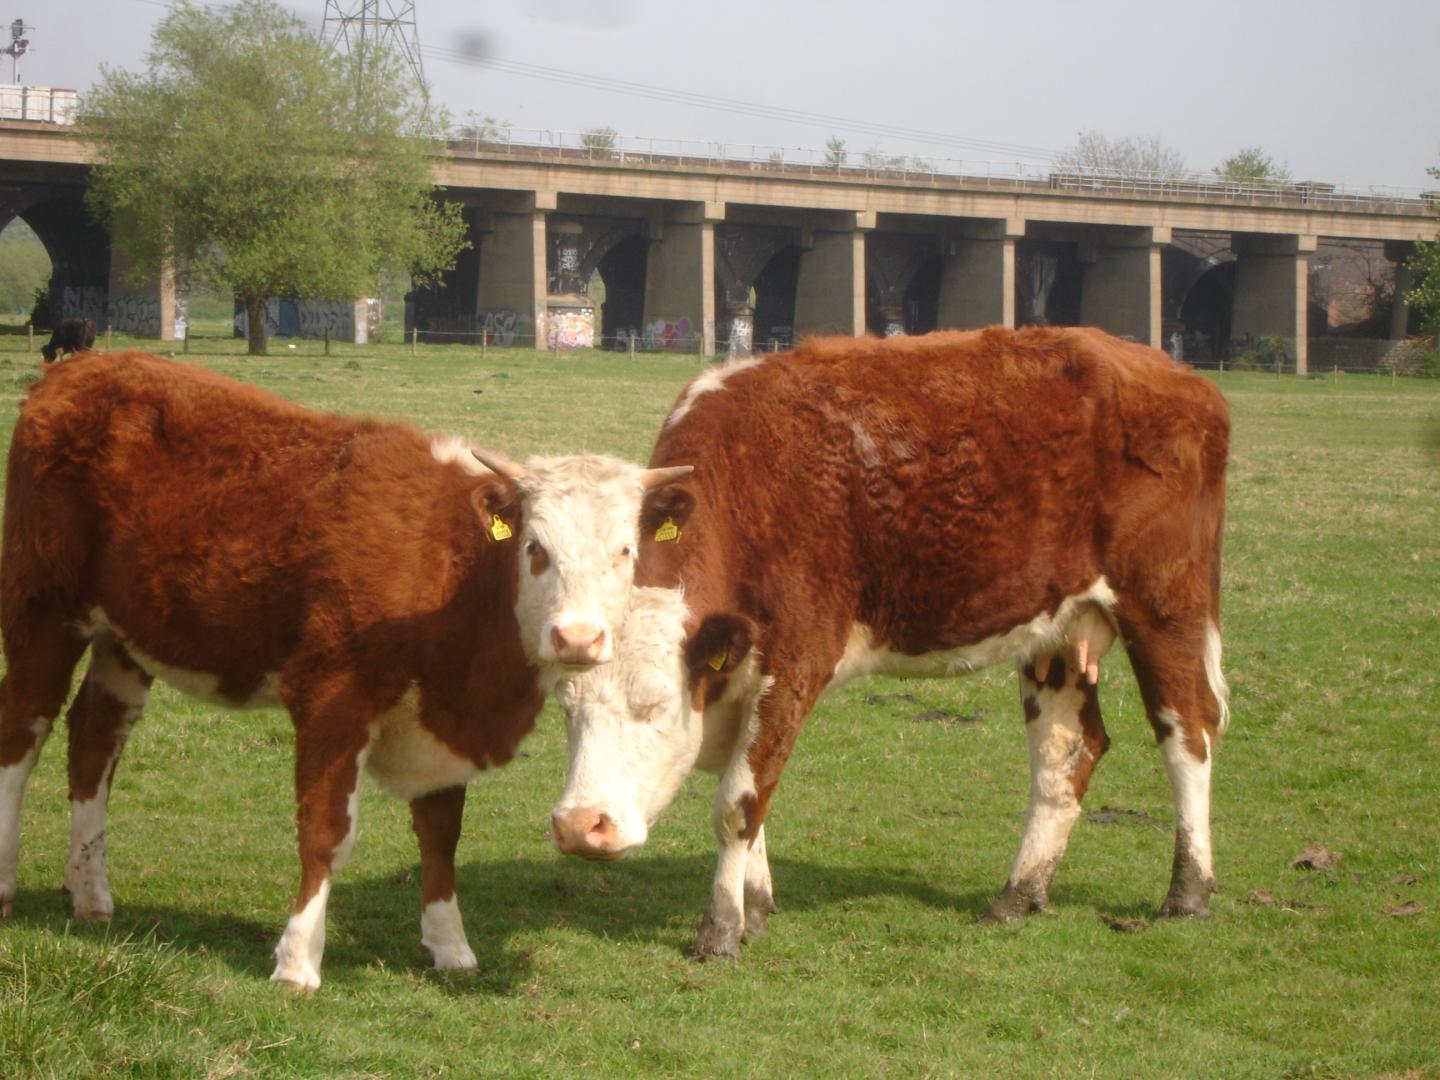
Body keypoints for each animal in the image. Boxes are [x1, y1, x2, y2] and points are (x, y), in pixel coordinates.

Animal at [0, 348, 688, 990]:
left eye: (626, 551)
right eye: (535, 548)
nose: (578, 637)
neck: (449, 570)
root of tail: (80, 368)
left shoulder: (444, 715)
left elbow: (441, 833)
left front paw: (451, 946)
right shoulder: (333, 697)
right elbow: (326, 830)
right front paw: (297, 960)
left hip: (123, 635)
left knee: (95, 737)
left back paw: (90, 892)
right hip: (42, 609)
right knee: (23, 730)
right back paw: (7, 885)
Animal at [547, 325, 1226, 961]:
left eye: (654, 705)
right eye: (566, 708)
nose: (580, 827)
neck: (754, 488)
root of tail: (1174, 373)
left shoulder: (796, 662)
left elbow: (739, 802)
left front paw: (720, 930)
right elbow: (755, 792)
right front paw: (757, 908)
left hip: (1164, 606)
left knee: (1188, 733)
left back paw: (1188, 891)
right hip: (1057, 626)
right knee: (1067, 753)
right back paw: (1018, 894)